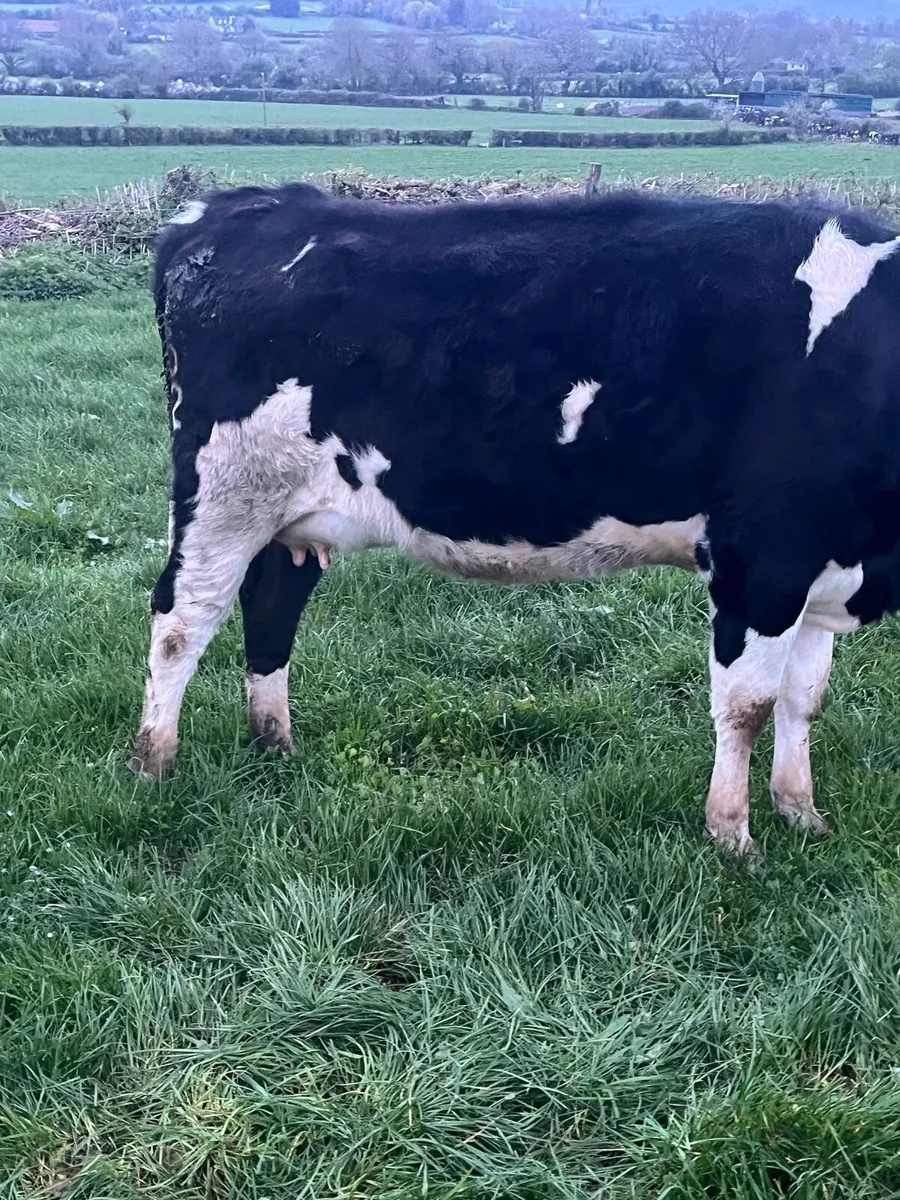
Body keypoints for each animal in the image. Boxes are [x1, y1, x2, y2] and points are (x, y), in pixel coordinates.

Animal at [129, 182, 900, 857]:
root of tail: (231, 208)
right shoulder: (762, 559)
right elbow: (748, 704)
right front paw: (733, 837)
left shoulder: (823, 566)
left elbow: (804, 698)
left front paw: (801, 814)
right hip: (223, 492)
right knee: (181, 618)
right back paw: (154, 763)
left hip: (290, 512)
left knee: (271, 604)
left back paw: (274, 745)